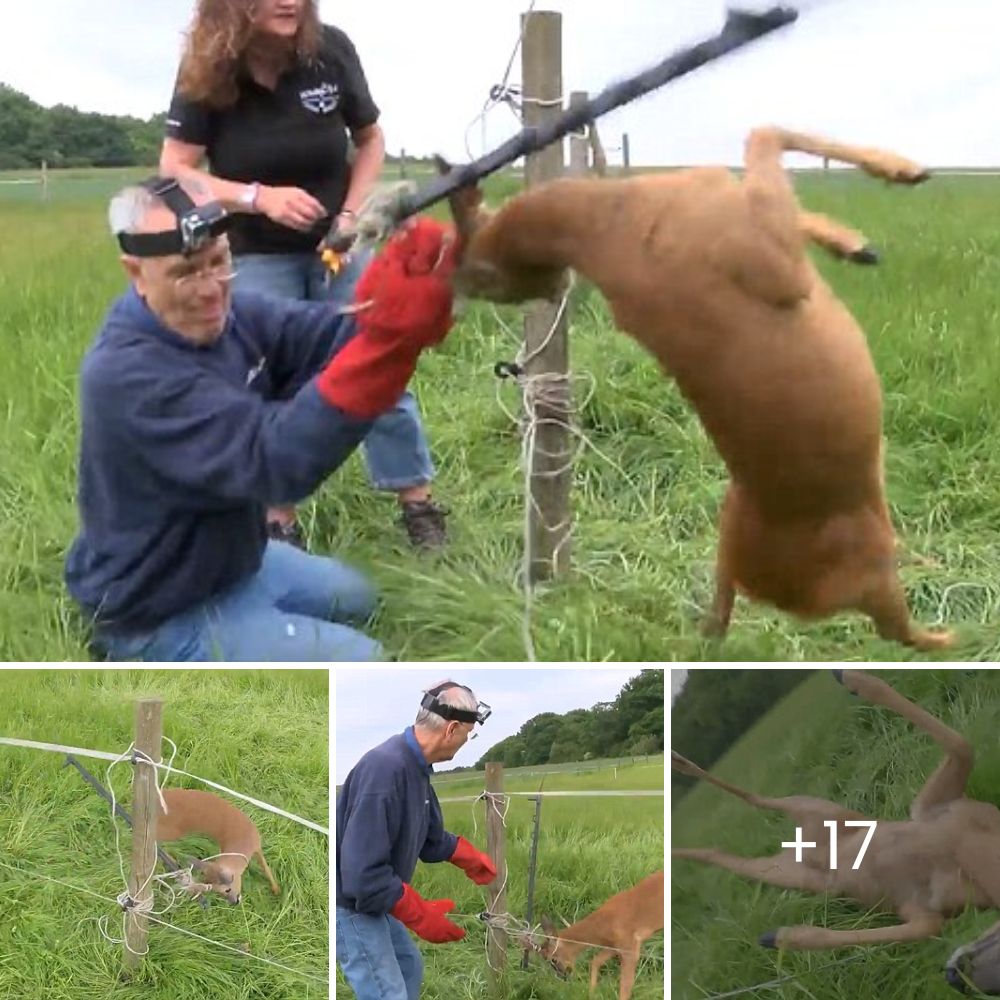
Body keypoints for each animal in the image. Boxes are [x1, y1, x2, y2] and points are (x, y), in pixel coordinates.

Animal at [440, 125, 952, 652]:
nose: (547, 292)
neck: (603, 222)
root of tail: (783, 593)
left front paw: (851, 241)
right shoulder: (777, 265)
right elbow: (766, 135)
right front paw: (900, 169)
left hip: (732, 528)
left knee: (722, 609)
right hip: (867, 561)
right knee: (906, 630)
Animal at [532, 868, 664, 1000]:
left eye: (553, 959)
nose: (563, 976)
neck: (602, 925)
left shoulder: (629, 947)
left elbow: (625, 987)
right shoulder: (613, 946)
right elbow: (595, 961)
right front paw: (591, 993)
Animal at [672, 668, 1000, 996]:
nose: (957, 976)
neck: (974, 850)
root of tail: (798, 845)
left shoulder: (926, 910)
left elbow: (923, 929)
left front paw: (780, 936)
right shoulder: (932, 806)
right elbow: (962, 745)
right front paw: (856, 679)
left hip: (786, 873)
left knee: (723, 846)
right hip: (810, 807)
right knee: (756, 801)